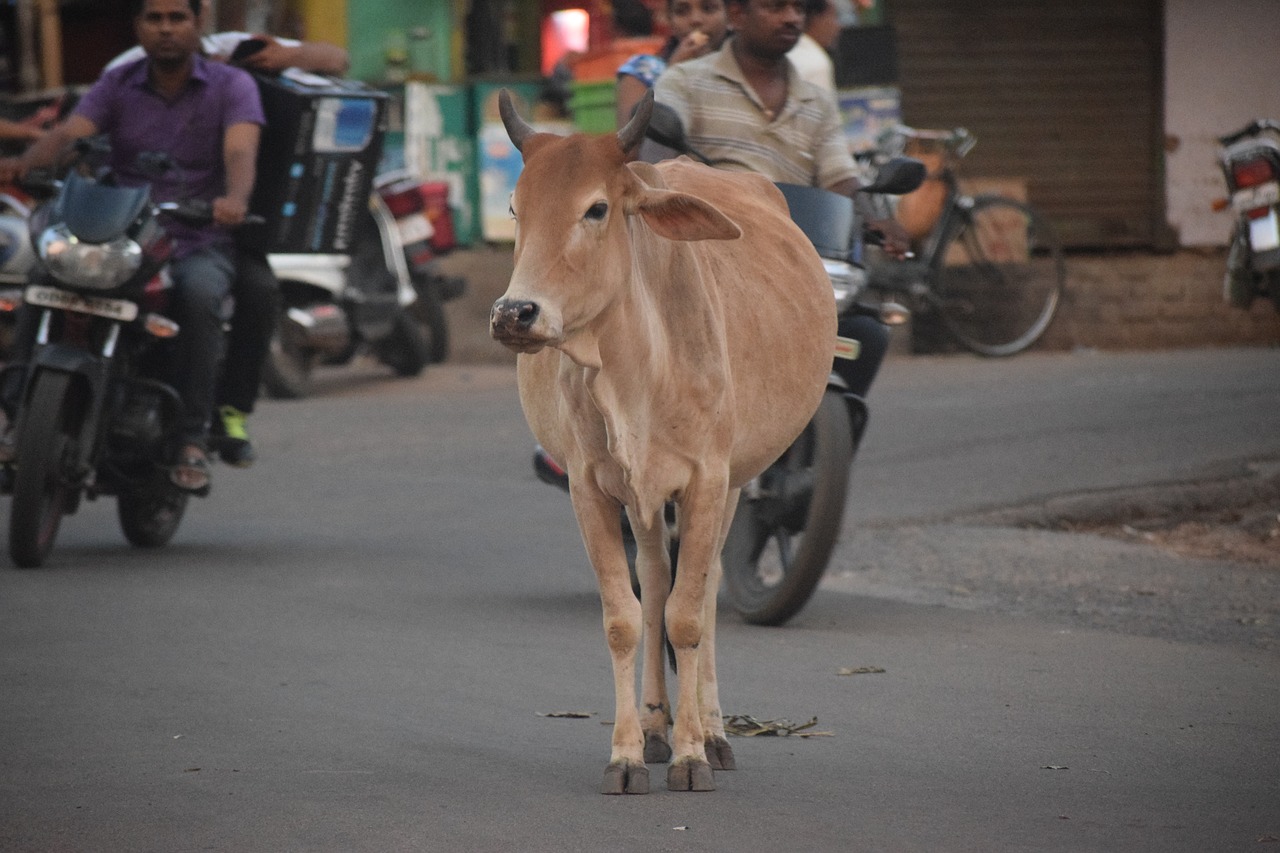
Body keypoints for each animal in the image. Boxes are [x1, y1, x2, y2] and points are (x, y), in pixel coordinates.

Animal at [486, 87, 829, 788]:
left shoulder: (707, 480)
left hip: (734, 479)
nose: (514, 313)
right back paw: (652, 727)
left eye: (596, 208)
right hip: (640, 498)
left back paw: (714, 733)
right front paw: (625, 754)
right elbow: (626, 617)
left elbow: (689, 617)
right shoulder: (591, 487)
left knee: (707, 586)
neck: (634, 364)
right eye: (515, 209)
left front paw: (693, 753)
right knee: (653, 578)